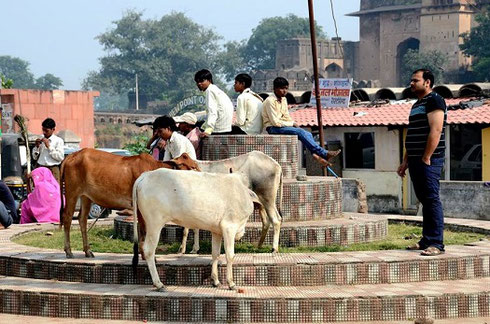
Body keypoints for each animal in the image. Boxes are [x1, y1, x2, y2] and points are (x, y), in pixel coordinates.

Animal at [60, 149, 198, 258]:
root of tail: (72, 155)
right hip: (72, 192)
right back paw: (68, 251)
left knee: (82, 219)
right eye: (192, 167)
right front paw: (144, 254)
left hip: (86, 197)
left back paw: (88, 251)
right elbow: (143, 230)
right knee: (67, 218)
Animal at [130, 167, 260, 292]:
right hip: (155, 224)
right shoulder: (229, 227)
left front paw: (215, 281)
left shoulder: (217, 231)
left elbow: (215, 254)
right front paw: (231, 284)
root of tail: (146, 175)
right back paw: (159, 284)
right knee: (148, 250)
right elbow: (230, 255)